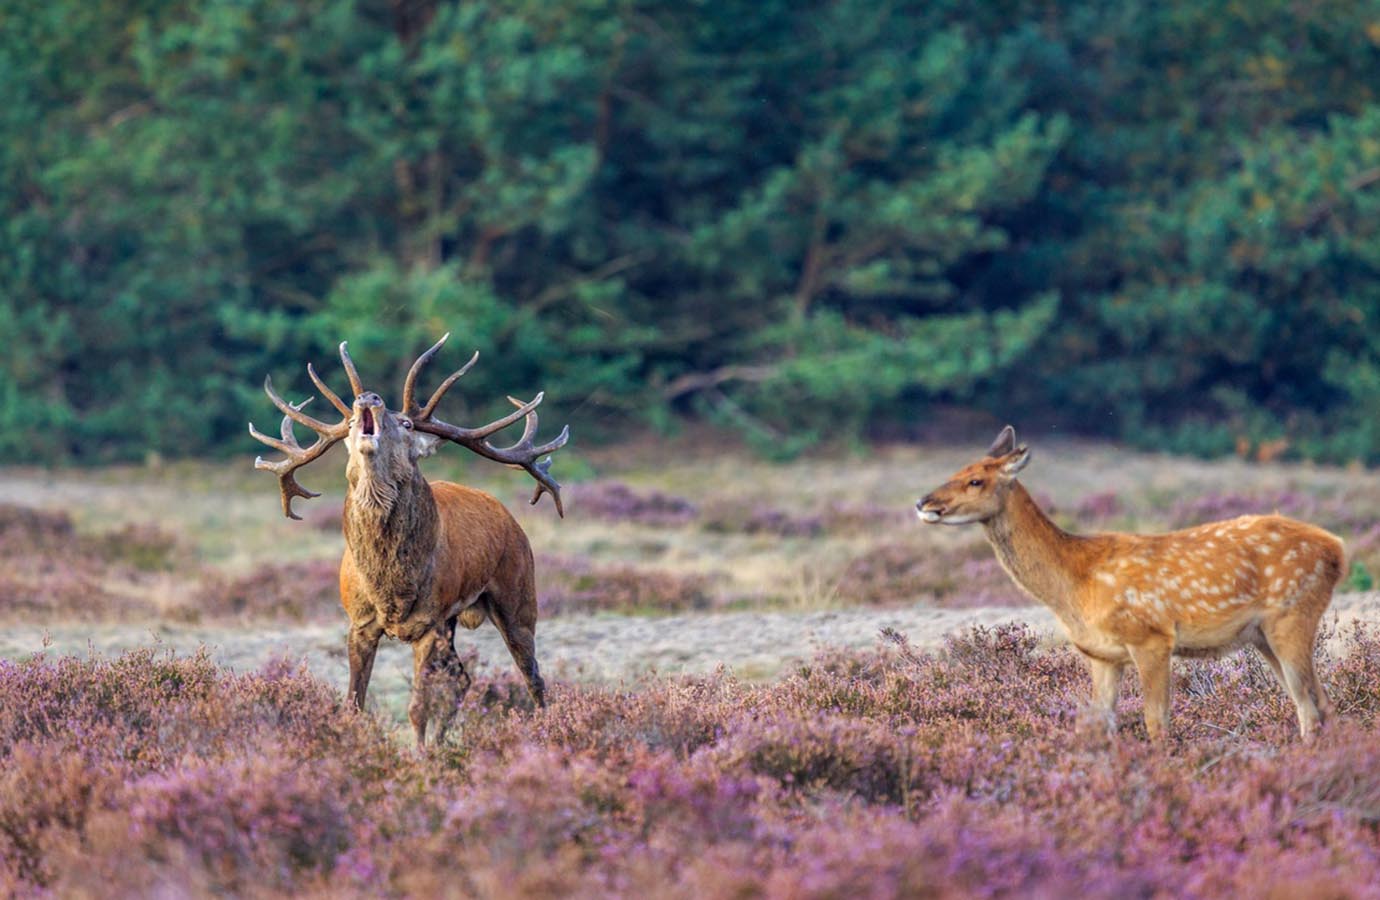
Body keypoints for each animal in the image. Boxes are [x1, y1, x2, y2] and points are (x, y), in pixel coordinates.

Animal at [249, 335, 565, 745]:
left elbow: (417, 707)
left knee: (534, 678)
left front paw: (419, 753)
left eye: (406, 422)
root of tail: (509, 517)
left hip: (518, 595)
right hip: (454, 620)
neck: (391, 588)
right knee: (462, 678)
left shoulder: (429, 622)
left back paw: (544, 731)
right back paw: (444, 740)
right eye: (351, 422)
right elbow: (354, 702)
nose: (368, 397)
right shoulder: (360, 622)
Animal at [921, 425, 1341, 739]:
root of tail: (1336, 548)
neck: (1074, 584)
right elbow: (1100, 722)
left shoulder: (1151, 636)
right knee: (1315, 702)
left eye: (976, 480)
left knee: (1312, 703)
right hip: (1262, 635)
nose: (924, 503)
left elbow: (1156, 722)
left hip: (1293, 614)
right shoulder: (1101, 654)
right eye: (955, 471)